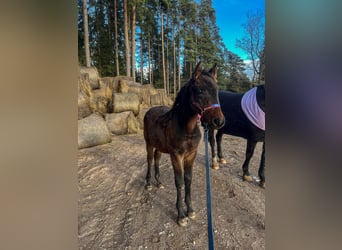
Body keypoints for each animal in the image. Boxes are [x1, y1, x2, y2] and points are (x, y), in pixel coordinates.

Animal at [144, 62, 226, 227]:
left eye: (216, 90)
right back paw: (149, 183)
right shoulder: (176, 156)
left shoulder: (191, 155)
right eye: (200, 90)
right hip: (149, 144)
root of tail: (149, 110)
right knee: (149, 160)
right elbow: (179, 181)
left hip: (159, 147)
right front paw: (181, 215)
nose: (219, 121)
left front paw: (190, 210)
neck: (186, 128)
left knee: (156, 159)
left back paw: (159, 182)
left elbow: (188, 180)